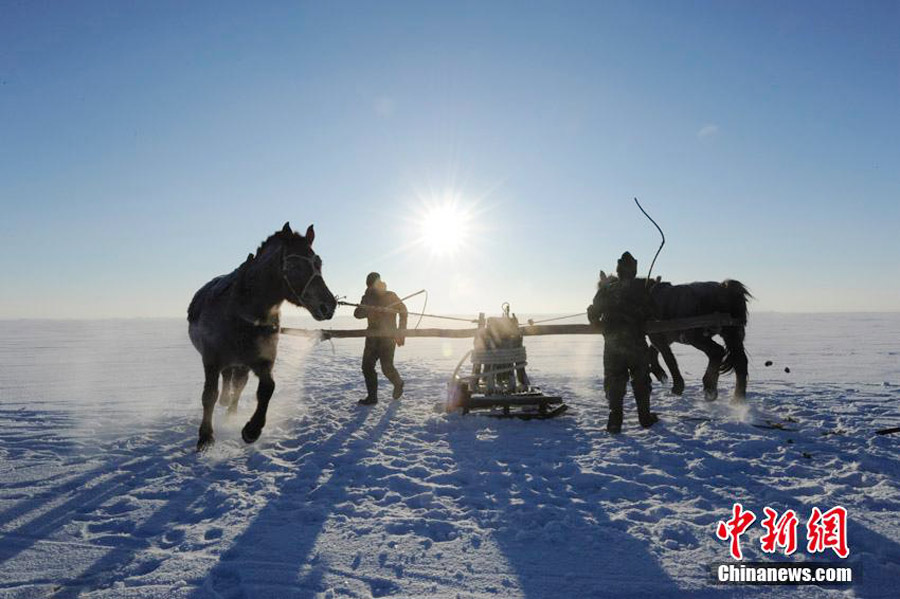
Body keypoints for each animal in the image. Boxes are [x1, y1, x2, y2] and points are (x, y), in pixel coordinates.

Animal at [188, 223, 336, 452]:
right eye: (294, 265)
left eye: (318, 263)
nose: (328, 306)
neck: (241, 312)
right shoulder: (211, 360)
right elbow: (209, 396)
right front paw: (205, 436)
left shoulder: (261, 359)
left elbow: (267, 388)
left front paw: (252, 429)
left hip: (241, 364)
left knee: (238, 385)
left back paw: (231, 413)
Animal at [592, 274, 752, 400]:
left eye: (603, 293)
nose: (593, 314)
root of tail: (725, 289)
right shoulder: (663, 337)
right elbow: (653, 352)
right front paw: (659, 374)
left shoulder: (658, 337)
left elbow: (669, 358)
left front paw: (677, 386)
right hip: (731, 334)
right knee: (740, 362)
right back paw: (738, 399)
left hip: (695, 336)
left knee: (717, 352)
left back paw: (710, 388)